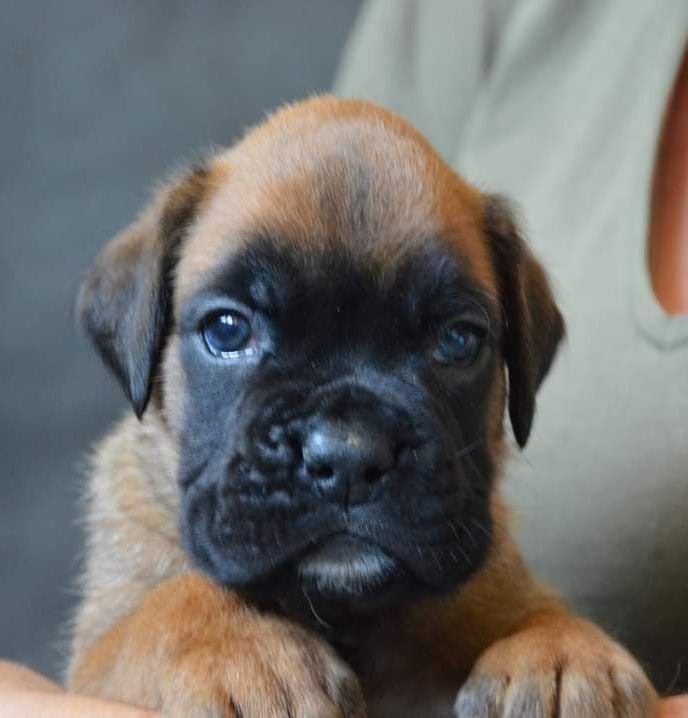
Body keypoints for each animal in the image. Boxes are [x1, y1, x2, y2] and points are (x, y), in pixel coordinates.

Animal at [68, 96, 656, 717]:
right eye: (228, 330)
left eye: (458, 340)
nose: (349, 455)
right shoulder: (94, 657)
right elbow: (161, 611)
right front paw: (237, 648)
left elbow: (539, 611)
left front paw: (562, 651)